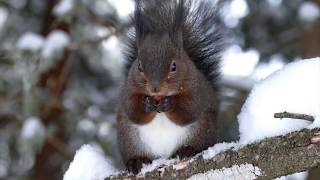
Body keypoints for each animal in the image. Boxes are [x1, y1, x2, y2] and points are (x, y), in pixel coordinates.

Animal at [116, 0, 224, 174]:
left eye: (174, 66)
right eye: (139, 66)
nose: (155, 89)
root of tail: (164, 155)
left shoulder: (197, 89)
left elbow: (189, 110)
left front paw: (170, 103)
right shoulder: (128, 90)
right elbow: (133, 111)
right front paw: (146, 103)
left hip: (202, 131)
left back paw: (187, 149)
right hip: (129, 139)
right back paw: (137, 161)